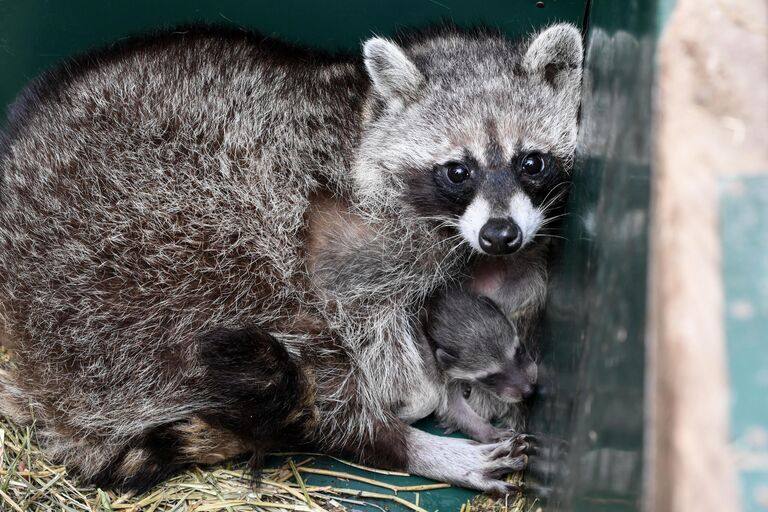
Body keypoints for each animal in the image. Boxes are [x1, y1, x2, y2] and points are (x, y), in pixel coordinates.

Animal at [424, 288, 536, 444]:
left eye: (519, 351)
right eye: (491, 377)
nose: (529, 391)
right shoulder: (441, 370)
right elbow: (453, 407)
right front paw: (485, 430)